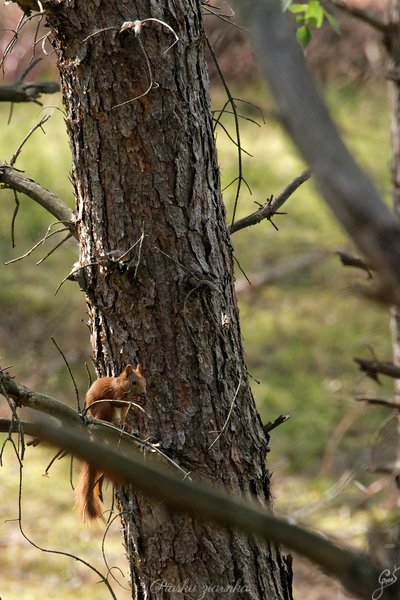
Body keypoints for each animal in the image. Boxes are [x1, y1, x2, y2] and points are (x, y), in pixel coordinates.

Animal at [74, 364, 145, 524]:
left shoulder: (124, 408)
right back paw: (112, 423)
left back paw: (123, 426)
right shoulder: (115, 395)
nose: (143, 393)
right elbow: (119, 402)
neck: (120, 385)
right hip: (105, 407)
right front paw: (133, 400)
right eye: (133, 382)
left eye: (144, 381)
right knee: (107, 414)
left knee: (121, 418)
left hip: (119, 413)